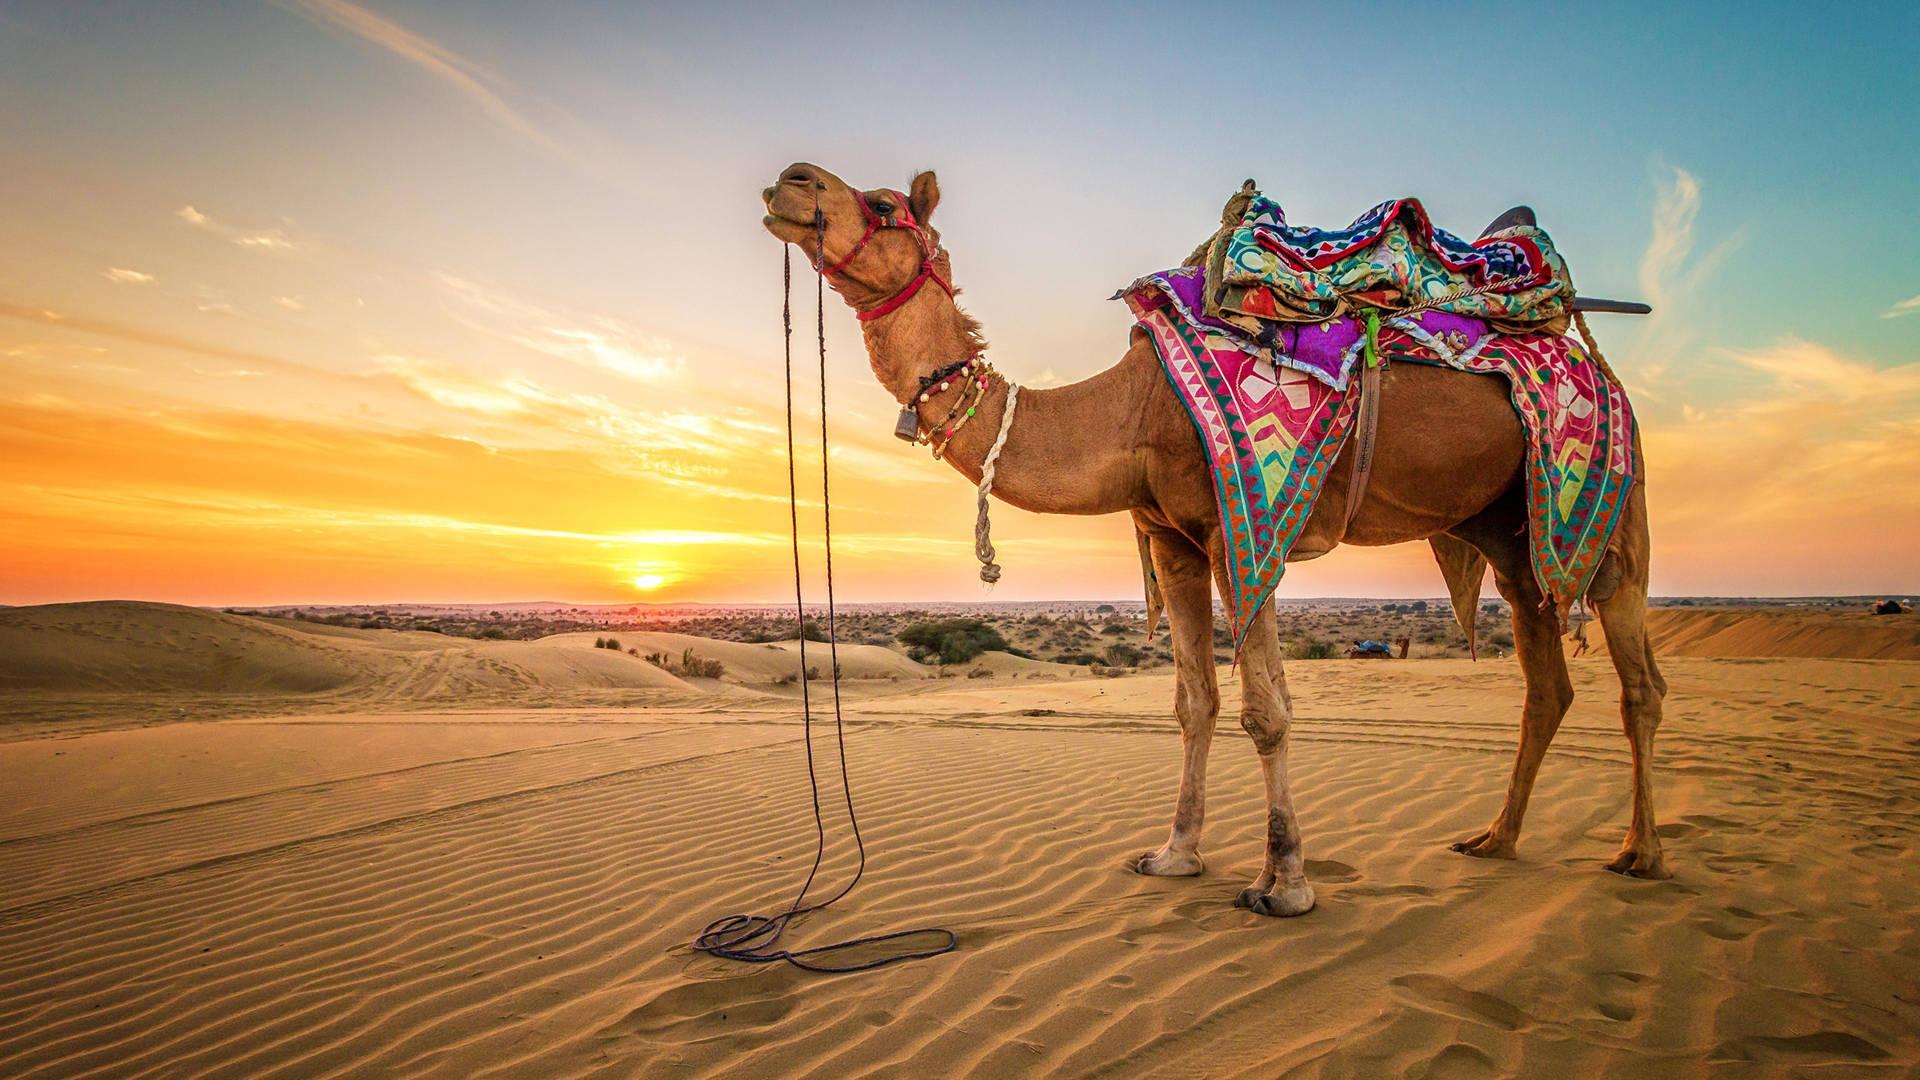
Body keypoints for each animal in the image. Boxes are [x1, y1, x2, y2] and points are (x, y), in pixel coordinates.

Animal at [760, 164, 1666, 910]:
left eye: (882, 204)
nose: (791, 181)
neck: (1127, 411)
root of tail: (1589, 357)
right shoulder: (1174, 543)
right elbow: (1195, 701)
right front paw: (1174, 855)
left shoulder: (1245, 530)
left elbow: (1267, 709)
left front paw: (1285, 882)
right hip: (1509, 530)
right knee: (1545, 676)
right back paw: (1495, 839)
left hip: (1615, 503)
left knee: (1638, 679)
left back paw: (1640, 853)